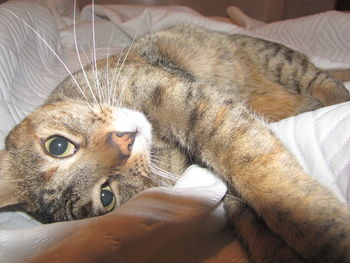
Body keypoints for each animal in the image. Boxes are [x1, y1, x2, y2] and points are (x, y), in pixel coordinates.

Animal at [0, 23, 350, 262]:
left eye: (57, 146)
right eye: (106, 197)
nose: (124, 143)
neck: (161, 146)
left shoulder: (186, 100)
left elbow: (260, 171)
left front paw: (323, 230)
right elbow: (242, 211)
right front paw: (274, 250)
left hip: (278, 61)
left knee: (324, 80)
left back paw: (335, 98)